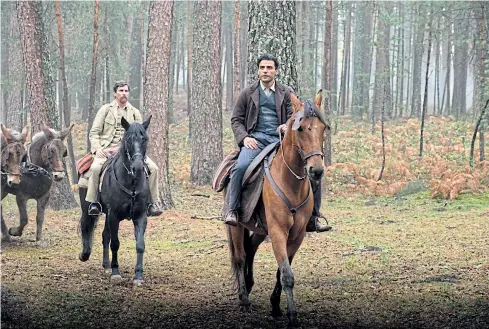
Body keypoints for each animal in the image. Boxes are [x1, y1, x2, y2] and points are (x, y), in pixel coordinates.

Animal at [78, 115, 151, 284]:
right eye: (129, 139)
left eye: (144, 139)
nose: (138, 167)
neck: (131, 183)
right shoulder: (114, 215)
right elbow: (115, 243)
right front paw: (116, 272)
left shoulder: (140, 215)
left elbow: (140, 244)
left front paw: (138, 275)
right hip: (88, 208)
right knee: (86, 226)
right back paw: (85, 255)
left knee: (105, 236)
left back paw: (106, 265)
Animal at [226, 90, 326, 328]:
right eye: (300, 129)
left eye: (323, 128)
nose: (316, 171)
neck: (291, 182)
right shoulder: (278, 231)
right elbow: (287, 274)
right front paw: (292, 316)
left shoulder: (297, 235)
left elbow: (282, 269)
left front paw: (276, 306)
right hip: (237, 226)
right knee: (240, 256)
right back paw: (244, 299)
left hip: (261, 229)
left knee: (250, 248)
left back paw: (249, 285)